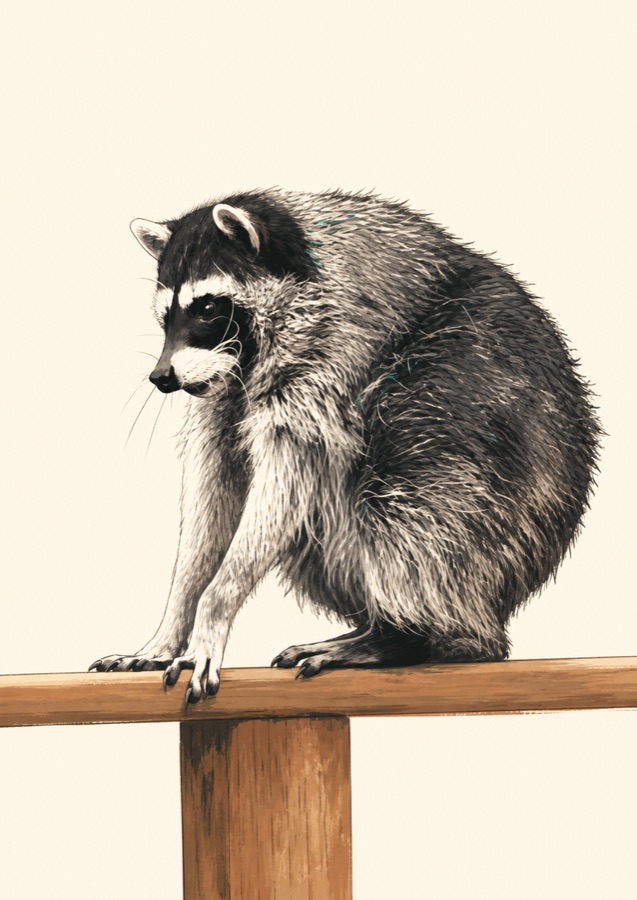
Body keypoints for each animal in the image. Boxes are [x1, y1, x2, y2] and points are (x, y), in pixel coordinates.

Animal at [90, 189, 600, 702]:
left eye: (208, 308)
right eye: (165, 317)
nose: (161, 377)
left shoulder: (329, 355)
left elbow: (287, 479)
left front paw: (216, 604)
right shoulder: (222, 391)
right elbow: (214, 487)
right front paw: (172, 622)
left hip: (473, 467)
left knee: (408, 506)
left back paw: (405, 636)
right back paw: (379, 628)